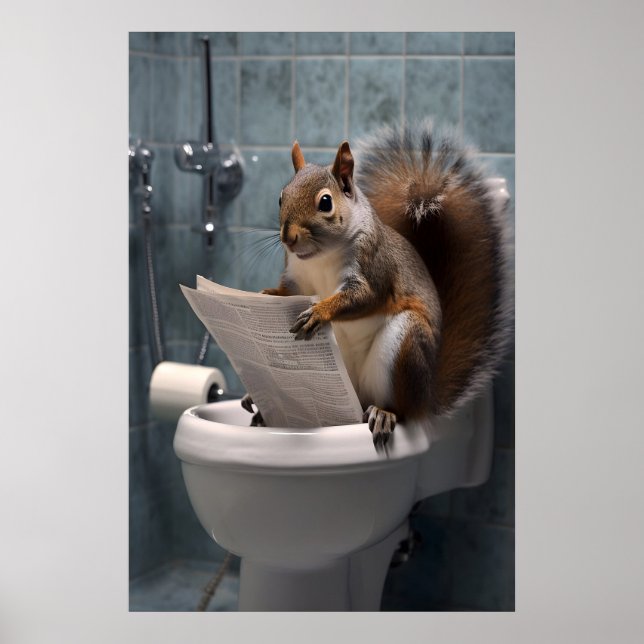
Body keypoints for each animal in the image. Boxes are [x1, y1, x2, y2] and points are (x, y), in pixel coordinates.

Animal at [241, 121, 512, 446]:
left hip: (406, 345)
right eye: (281, 197)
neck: (321, 257)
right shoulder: (297, 278)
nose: (288, 237)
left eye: (325, 202)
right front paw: (266, 294)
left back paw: (385, 413)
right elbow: (288, 292)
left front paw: (319, 312)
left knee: (404, 409)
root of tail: (429, 398)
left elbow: (364, 298)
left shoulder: (374, 268)